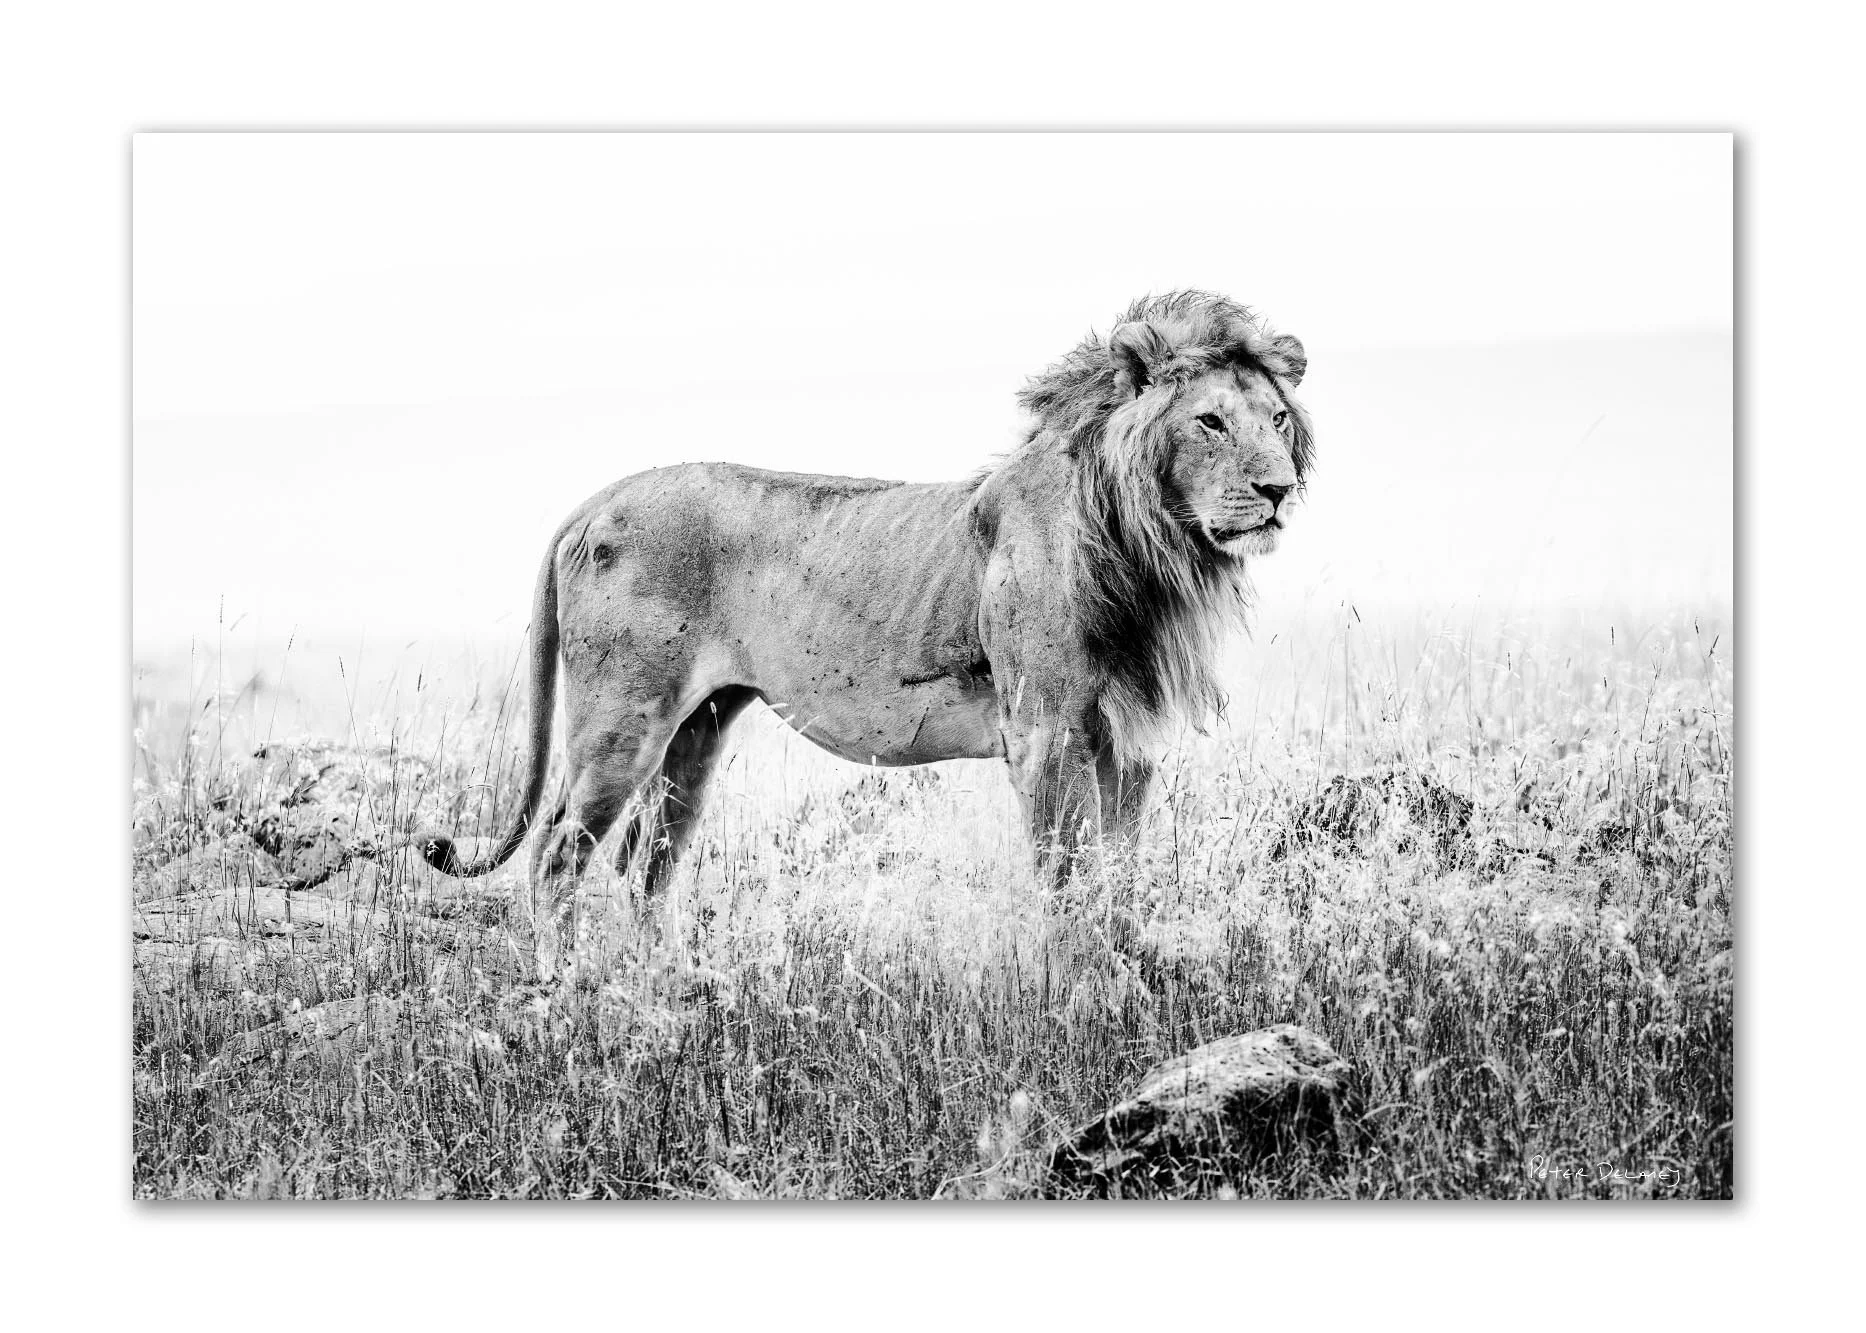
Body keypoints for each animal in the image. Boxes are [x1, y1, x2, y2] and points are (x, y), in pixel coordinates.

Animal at [416, 290, 1314, 978]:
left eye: (1277, 418)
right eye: (1210, 421)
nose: (1280, 490)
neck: (1154, 546)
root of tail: (598, 496)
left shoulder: (1125, 740)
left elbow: (1121, 875)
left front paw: (1128, 977)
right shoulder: (1047, 730)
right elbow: (1069, 876)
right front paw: (1081, 990)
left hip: (699, 730)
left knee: (648, 864)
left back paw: (674, 987)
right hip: (621, 721)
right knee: (559, 851)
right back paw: (565, 986)